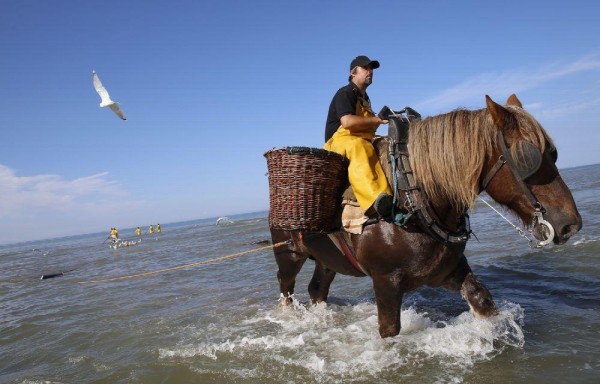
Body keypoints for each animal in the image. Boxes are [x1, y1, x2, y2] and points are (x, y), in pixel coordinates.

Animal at [270, 94, 580, 338]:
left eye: (554, 153)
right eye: (529, 158)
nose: (571, 224)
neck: (413, 199)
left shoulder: (447, 269)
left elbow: (481, 298)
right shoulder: (385, 282)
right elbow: (389, 330)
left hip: (327, 259)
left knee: (317, 289)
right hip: (289, 255)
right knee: (286, 286)